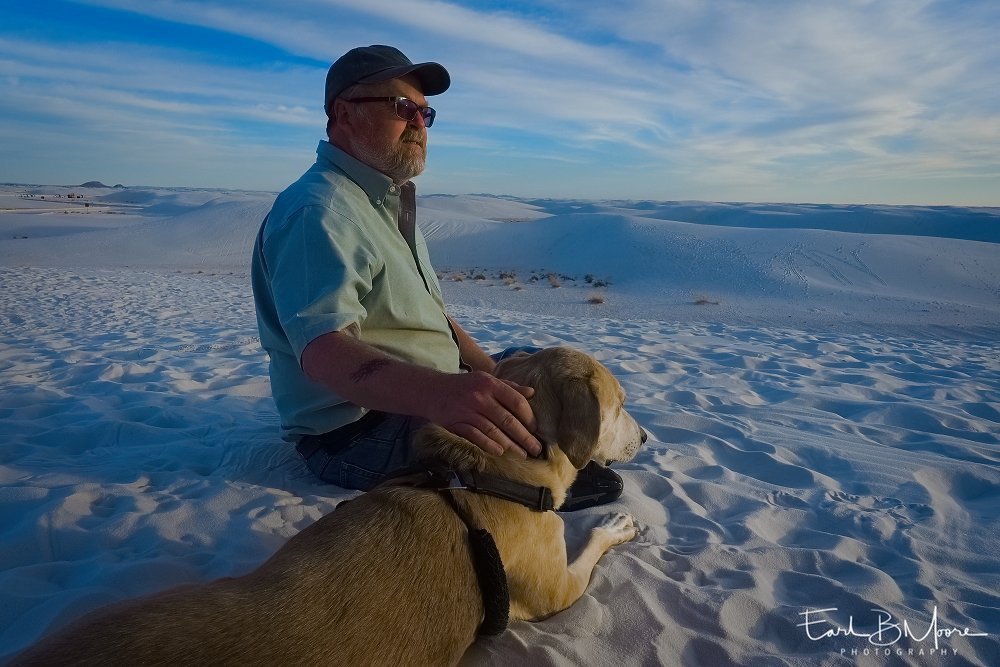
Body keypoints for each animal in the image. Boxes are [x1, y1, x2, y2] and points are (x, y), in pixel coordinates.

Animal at [15, 348, 648, 664]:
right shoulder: (556, 592)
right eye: (618, 406)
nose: (646, 438)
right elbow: (589, 545)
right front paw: (615, 522)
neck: (480, 471)